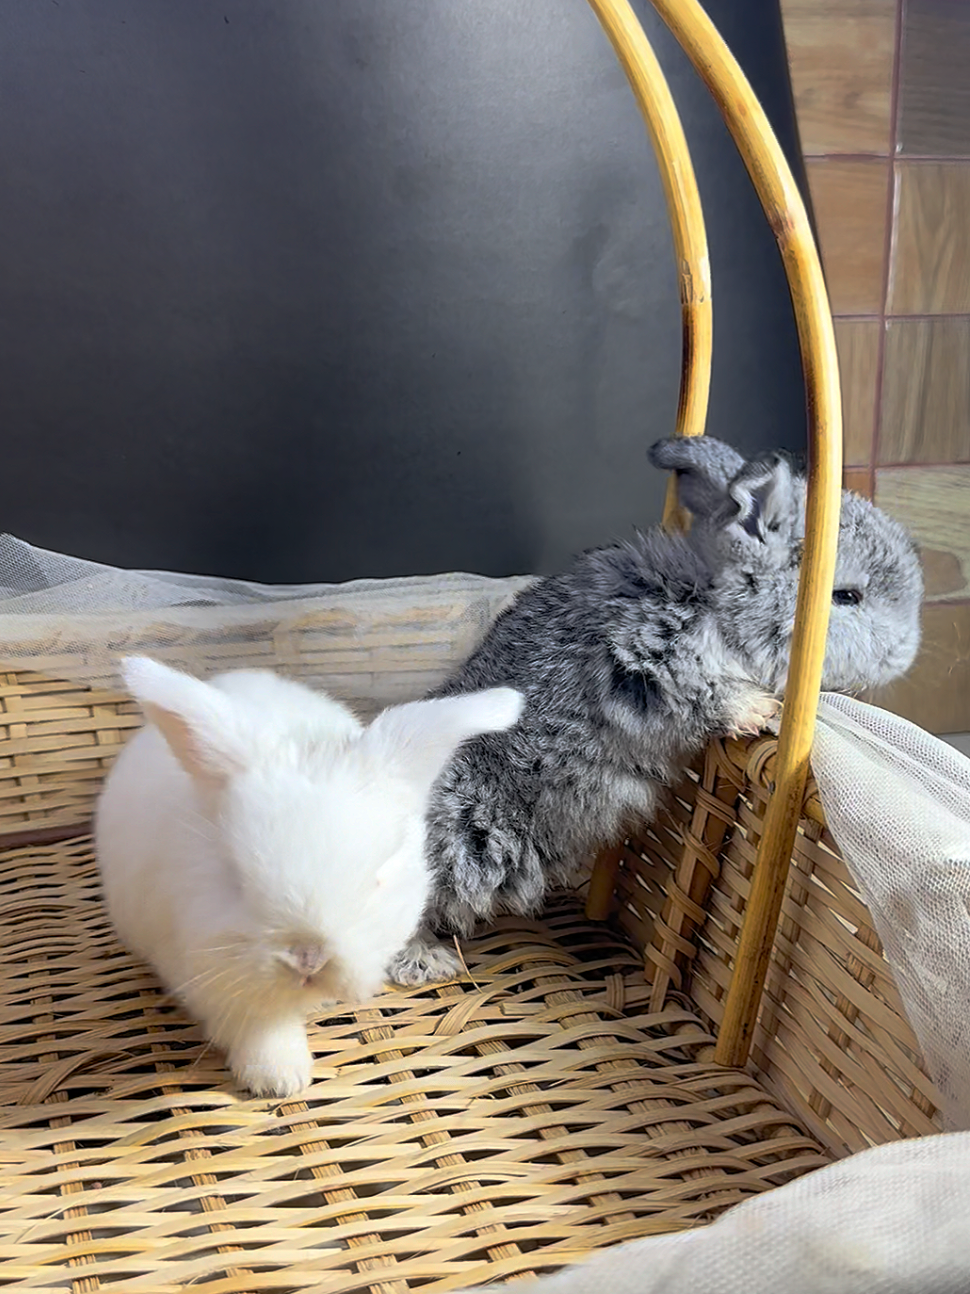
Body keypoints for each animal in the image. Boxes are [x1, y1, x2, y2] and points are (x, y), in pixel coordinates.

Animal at [97, 662, 525, 1097]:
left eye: (378, 877)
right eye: (235, 877)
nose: (308, 957)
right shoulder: (207, 976)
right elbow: (259, 1025)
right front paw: (279, 1081)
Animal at [385, 429, 920, 983]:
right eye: (846, 596)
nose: (907, 652)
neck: (713, 600)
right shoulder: (649, 655)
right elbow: (707, 694)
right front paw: (761, 711)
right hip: (462, 841)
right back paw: (429, 961)